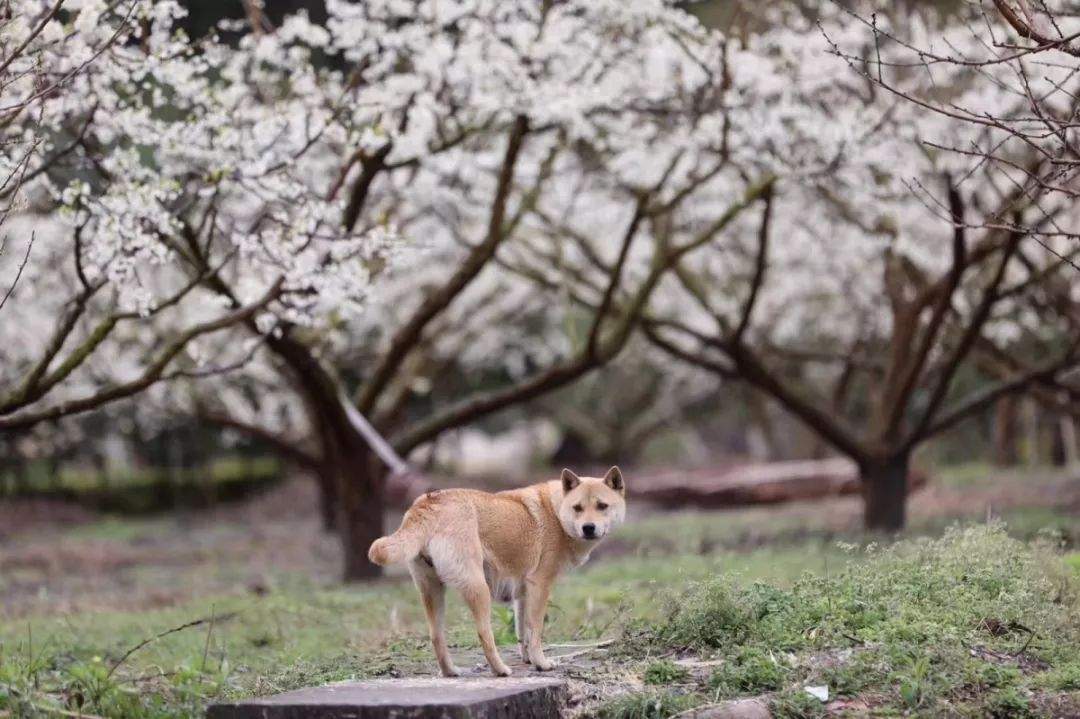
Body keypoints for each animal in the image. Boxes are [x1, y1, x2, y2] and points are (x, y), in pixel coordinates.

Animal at [369, 464, 630, 673]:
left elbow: (523, 632)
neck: (556, 512)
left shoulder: (523, 592)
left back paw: (451, 672)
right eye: (578, 508)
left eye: (602, 506)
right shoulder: (540, 585)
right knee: (484, 635)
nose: (588, 528)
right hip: (479, 590)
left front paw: (528, 660)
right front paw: (541, 663)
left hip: (432, 592)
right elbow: (535, 631)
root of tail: (427, 503)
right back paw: (500, 670)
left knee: (436, 636)